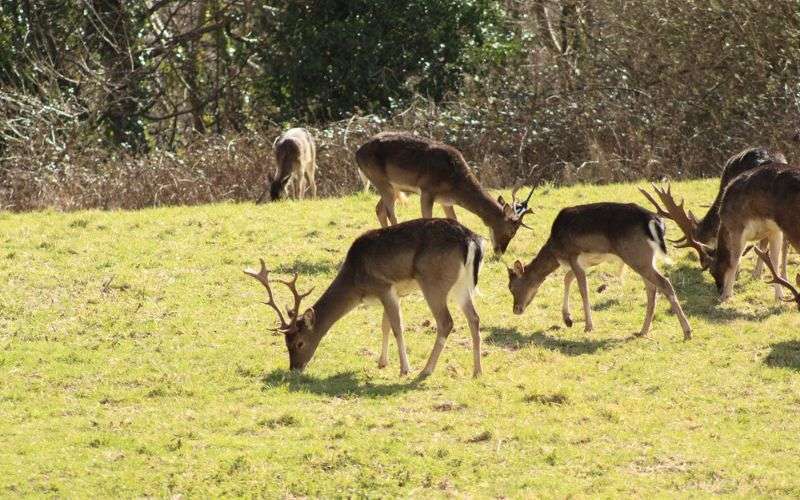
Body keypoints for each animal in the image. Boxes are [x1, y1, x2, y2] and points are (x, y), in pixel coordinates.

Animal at [244, 218, 486, 378]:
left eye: (299, 342)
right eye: (285, 343)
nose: (294, 368)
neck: (356, 280)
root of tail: (471, 239)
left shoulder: (384, 287)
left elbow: (397, 327)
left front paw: (404, 369)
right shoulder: (394, 294)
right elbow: (385, 325)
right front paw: (382, 362)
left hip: (434, 282)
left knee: (446, 322)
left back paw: (426, 370)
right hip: (460, 286)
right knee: (474, 318)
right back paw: (477, 371)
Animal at [355, 131, 533, 255]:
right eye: (511, 231)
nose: (500, 252)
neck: (455, 185)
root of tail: (357, 154)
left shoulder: (445, 201)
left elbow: (454, 219)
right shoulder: (427, 190)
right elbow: (427, 217)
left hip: (391, 186)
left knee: (379, 209)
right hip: (380, 180)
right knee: (390, 212)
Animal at [506, 202, 693, 340]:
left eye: (512, 287)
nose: (516, 309)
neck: (555, 249)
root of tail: (655, 220)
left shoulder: (573, 255)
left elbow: (583, 290)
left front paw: (588, 326)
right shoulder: (585, 262)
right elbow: (567, 278)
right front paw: (568, 319)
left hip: (636, 255)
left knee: (664, 282)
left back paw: (687, 332)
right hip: (646, 258)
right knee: (652, 288)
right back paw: (643, 331)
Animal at [641, 163, 800, 303]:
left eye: (712, 271)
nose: (719, 289)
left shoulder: (736, 225)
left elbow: (734, 260)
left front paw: (726, 296)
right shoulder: (774, 230)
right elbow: (774, 260)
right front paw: (779, 297)